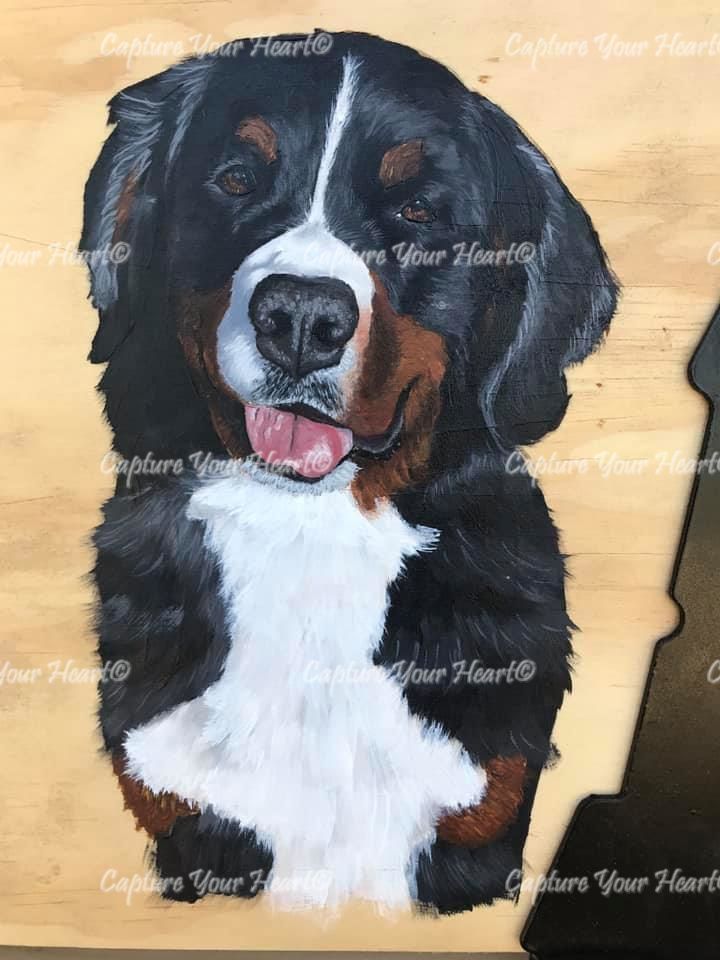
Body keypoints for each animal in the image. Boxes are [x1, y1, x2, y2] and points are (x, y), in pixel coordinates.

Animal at [82, 30, 618, 915]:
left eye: (417, 212)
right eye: (235, 180)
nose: (301, 317)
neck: (308, 529)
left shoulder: (480, 817)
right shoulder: (181, 813)